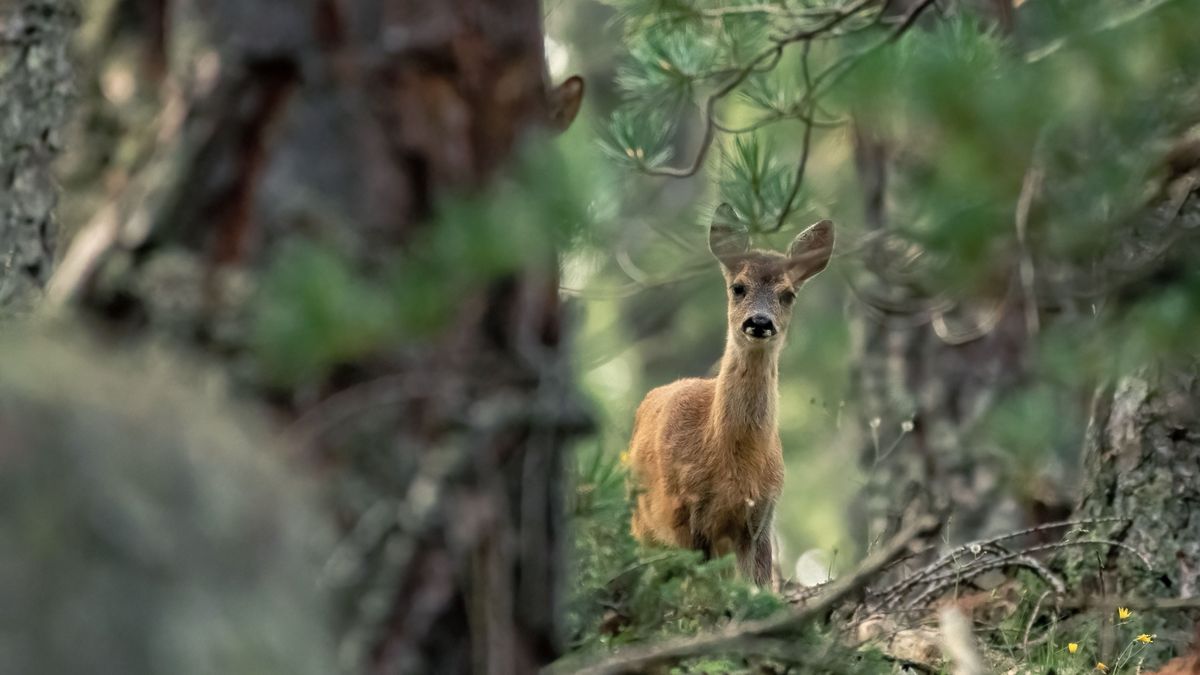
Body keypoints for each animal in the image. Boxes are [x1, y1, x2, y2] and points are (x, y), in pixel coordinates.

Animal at [628, 205, 835, 583]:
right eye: (738, 288)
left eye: (788, 294)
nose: (759, 322)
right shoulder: (685, 515)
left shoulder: (761, 518)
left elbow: (759, 587)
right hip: (645, 525)